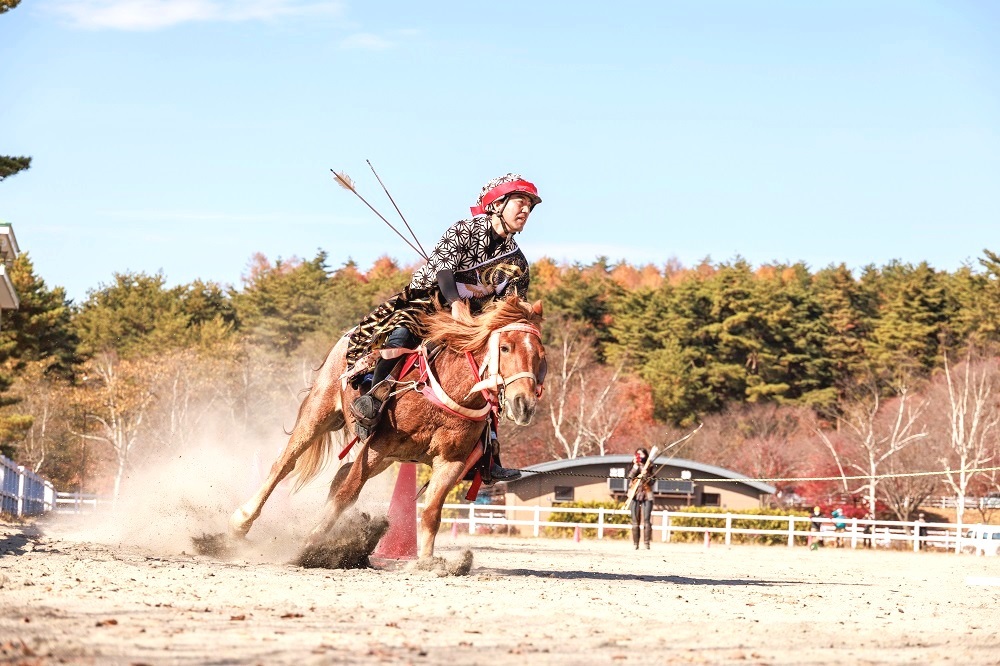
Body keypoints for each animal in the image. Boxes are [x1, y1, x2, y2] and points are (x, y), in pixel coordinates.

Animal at [229, 296, 548, 560]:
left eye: (540, 355)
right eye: (505, 347)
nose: (524, 404)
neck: (448, 391)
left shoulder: (451, 462)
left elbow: (431, 513)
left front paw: (427, 562)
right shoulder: (378, 446)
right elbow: (347, 493)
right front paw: (310, 544)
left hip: (387, 457)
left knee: (340, 474)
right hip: (319, 414)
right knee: (284, 465)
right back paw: (240, 522)